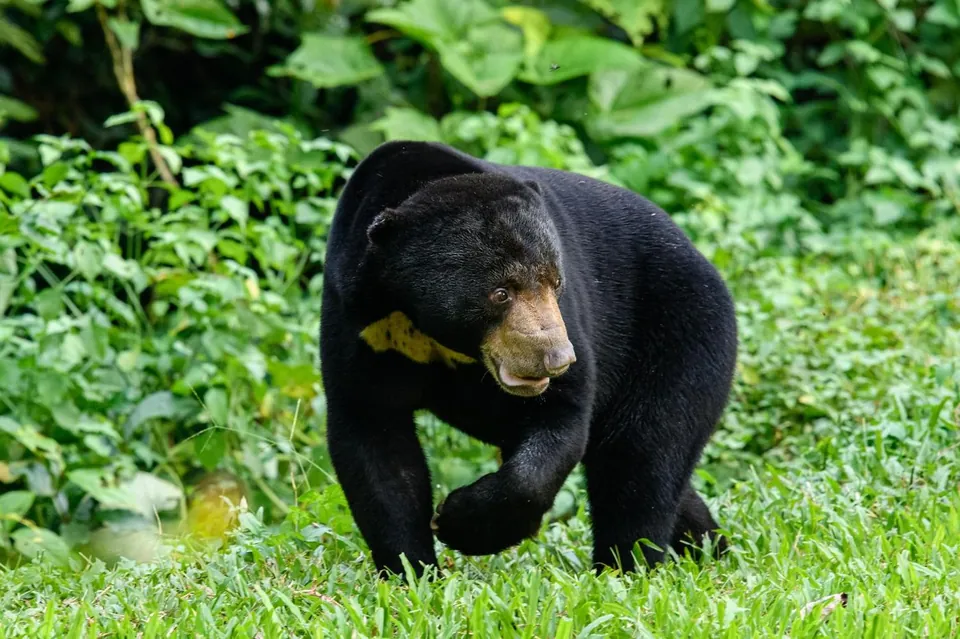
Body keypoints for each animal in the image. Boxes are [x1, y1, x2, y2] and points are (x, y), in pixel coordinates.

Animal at [319, 140, 738, 578]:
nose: (556, 357)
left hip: (681, 334)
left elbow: (560, 420)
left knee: (644, 455)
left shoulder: (572, 322)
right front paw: (410, 570)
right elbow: (375, 441)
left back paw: (627, 564)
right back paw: (707, 548)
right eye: (500, 292)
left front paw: (459, 522)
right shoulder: (358, 322)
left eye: (556, 281)